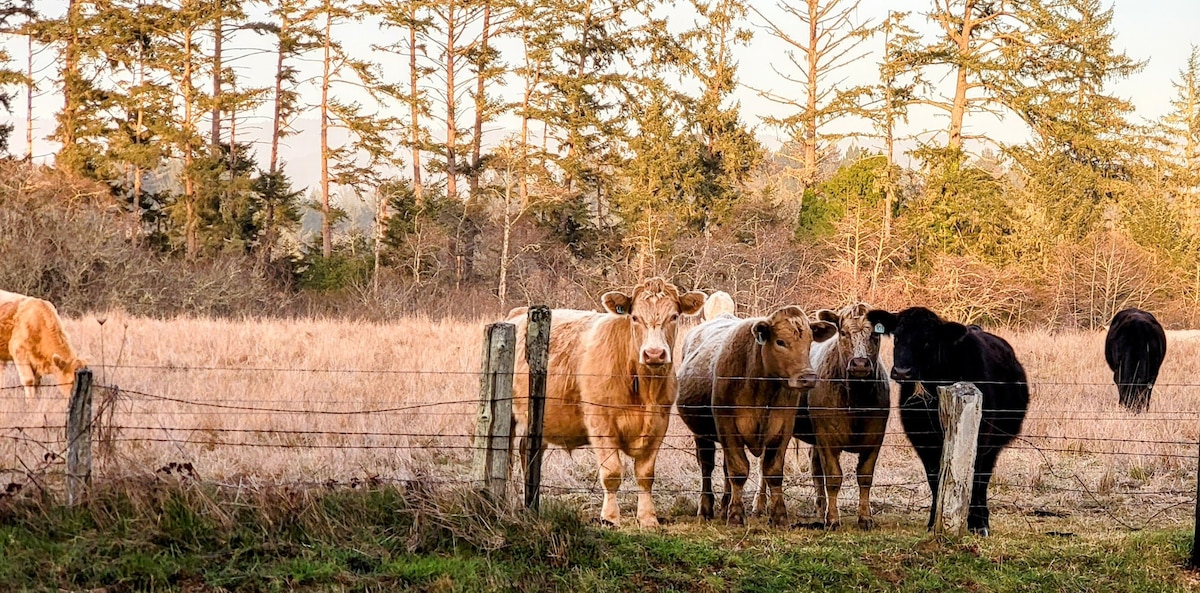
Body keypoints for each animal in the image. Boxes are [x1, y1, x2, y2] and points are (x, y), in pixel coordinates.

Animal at [506, 276, 700, 525]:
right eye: (635, 317)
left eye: (674, 316)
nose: (654, 354)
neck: (644, 389)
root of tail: (517, 313)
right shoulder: (600, 423)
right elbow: (612, 472)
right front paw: (610, 518)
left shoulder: (659, 423)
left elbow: (645, 474)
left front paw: (648, 518)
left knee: (528, 450)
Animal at [676, 307, 835, 525]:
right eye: (780, 342)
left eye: (810, 342)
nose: (808, 377)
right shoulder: (728, 428)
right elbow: (739, 470)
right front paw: (735, 515)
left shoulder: (783, 428)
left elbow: (772, 471)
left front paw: (779, 516)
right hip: (701, 434)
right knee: (706, 467)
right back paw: (706, 509)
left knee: (724, 469)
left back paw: (724, 505)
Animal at [796, 303, 892, 530]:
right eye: (843, 332)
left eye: (875, 334)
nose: (860, 363)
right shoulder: (827, 437)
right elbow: (833, 477)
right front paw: (833, 519)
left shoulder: (875, 437)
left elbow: (865, 477)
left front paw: (865, 517)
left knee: (814, 466)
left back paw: (820, 508)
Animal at [864, 307, 1032, 535]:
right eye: (897, 337)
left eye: (928, 341)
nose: (902, 372)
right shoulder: (923, 439)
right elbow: (934, 477)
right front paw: (933, 521)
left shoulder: (980, 437)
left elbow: (974, 477)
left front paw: (977, 524)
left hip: (995, 443)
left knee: (983, 478)